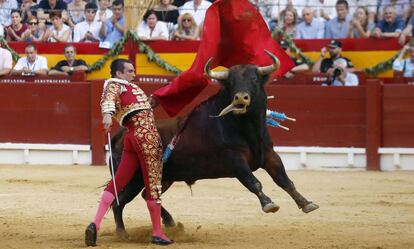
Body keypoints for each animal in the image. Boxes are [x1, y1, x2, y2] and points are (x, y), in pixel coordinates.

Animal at [108, 55, 318, 236]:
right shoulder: (235, 160)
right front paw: (268, 204)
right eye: (231, 82)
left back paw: (170, 223)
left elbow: (284, 180)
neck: (247, 128)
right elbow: (253, 181)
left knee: (146, 196)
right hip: (133, 177)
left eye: (254, 79)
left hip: (164, 177)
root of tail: (122, 134)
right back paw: (122, 233)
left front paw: (306, 203)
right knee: (119, 201)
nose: (240, 98)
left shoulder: (269, 155)